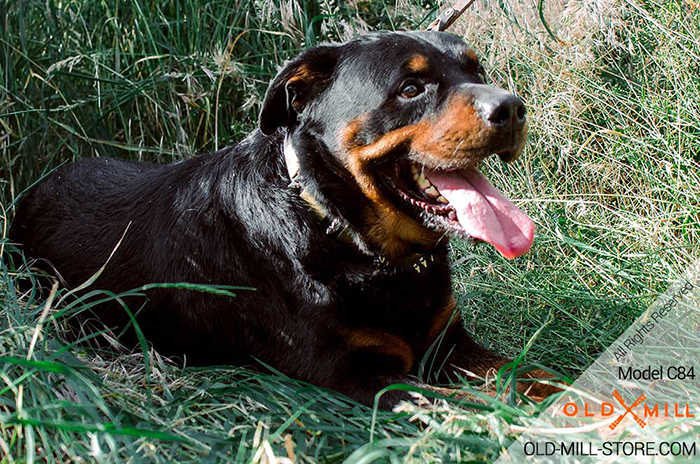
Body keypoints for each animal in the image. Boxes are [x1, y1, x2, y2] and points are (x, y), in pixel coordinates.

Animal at [10, 30, 556, 408]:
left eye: (476, 70)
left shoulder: (449, 341)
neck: (342, 232)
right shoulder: (355, 371)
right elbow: (476, 404)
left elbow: (528, 374)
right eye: (410, 88)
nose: (512, 108)